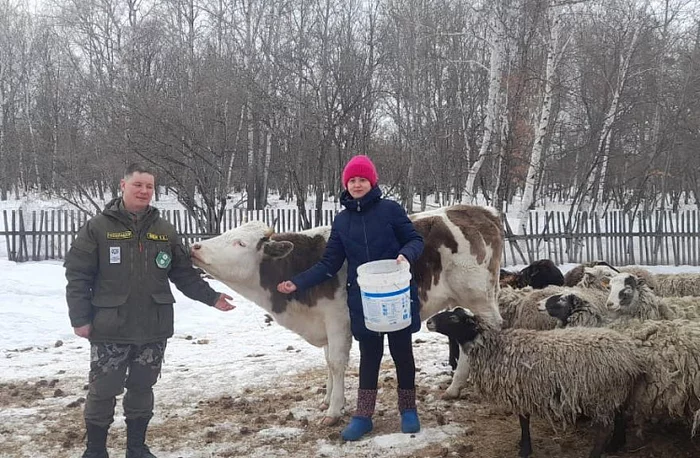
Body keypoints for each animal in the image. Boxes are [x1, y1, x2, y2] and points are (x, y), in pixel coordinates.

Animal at [189, 204, 500, 426]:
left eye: (240, 243)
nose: (195, 247)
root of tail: (478, 210)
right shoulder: (324, 325)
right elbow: (327, 363)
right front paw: (327, 399)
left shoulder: (338, 322)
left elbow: (337, 364)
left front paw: (334, 410)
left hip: (480, 297)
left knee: (484, 334)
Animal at [424, 306, 644, 458]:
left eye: (453, 318)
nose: (428, 322)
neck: (496, 347)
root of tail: (630, 355)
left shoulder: (520, 391)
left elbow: (524, 421)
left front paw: (525, 449)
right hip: (616, 392)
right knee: (620, 417)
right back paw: (616, 444)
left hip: (601, 394)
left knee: (604, 429)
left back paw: (596, 453)